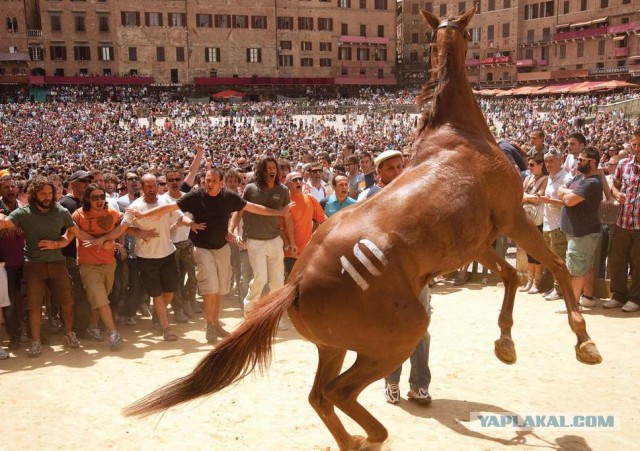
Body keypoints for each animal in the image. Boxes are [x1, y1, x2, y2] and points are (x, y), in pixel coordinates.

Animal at [122, 5, 604, 450]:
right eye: (469, 32)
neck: (457, 133)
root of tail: (295, 284)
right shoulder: (512, 217)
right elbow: (557, 265)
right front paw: (584, 341)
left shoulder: (479, 240)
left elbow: (508, 275)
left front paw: (505, 343)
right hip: (395, 338)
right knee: (339, 393)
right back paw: (370, 436)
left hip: (334, 346)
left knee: (319, 396)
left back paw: (354, 438)